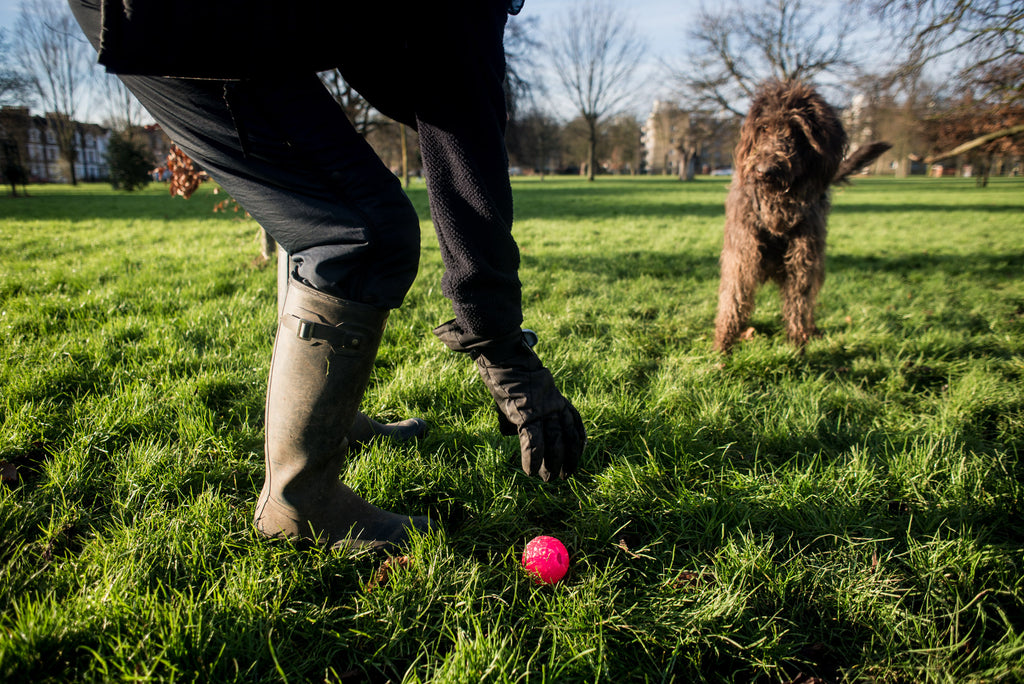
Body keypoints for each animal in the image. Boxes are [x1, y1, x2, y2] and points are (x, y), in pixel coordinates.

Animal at [712, 78, 888, 352]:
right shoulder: (742, 252)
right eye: (763, 128)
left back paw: (810, 330)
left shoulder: (803, 257)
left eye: (797, 131)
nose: (765, 170)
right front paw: (722, 345)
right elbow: (734, 296)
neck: (778, 205)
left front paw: (796, 343)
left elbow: (799, 301)